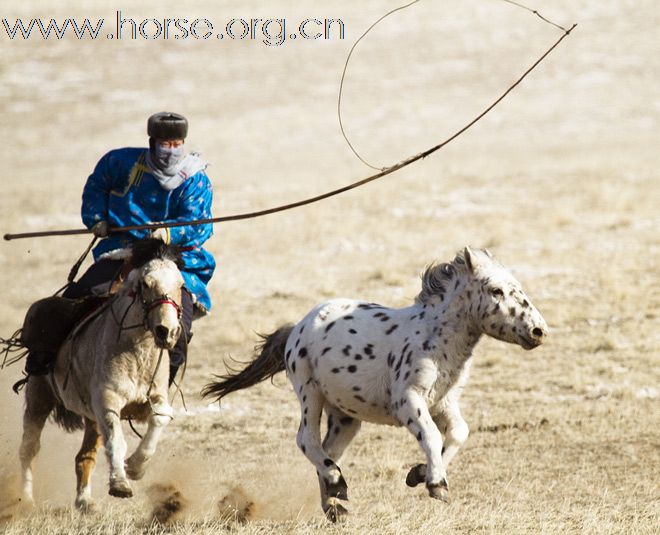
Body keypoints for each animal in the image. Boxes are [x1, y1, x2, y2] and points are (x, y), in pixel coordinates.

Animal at [204, 249, 548, 520]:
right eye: (496, 290)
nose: (539, 331)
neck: (435, 339)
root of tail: (296, 328)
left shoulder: (444, 402)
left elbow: (458, 433)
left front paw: (419, 474)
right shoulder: (408, 400)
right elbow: (432, 435)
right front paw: (436, 484)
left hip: (345, 417)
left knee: (328, 450)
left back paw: (335, 504)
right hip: (309, 394)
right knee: (306, 440)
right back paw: (337, 484)